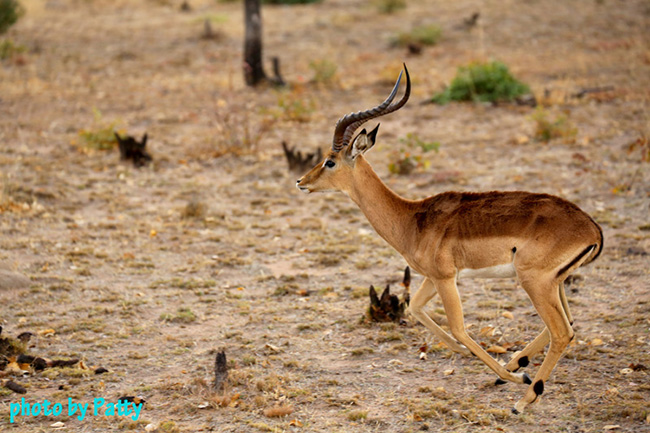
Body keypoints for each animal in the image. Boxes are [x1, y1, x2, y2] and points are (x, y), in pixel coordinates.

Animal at [296, 65, 603, 413]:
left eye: (330, 160)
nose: (301, 181)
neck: (411, 218)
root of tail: (592, 228)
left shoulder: (445, 278)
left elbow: (458, 327)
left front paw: (510, 377)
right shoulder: (433, 278)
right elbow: (417, 309)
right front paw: (470, 356)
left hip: (535, 282)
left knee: (562, 332)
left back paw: (524, 396)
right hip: (556, 282)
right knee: (569, 325)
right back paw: (518, 369)